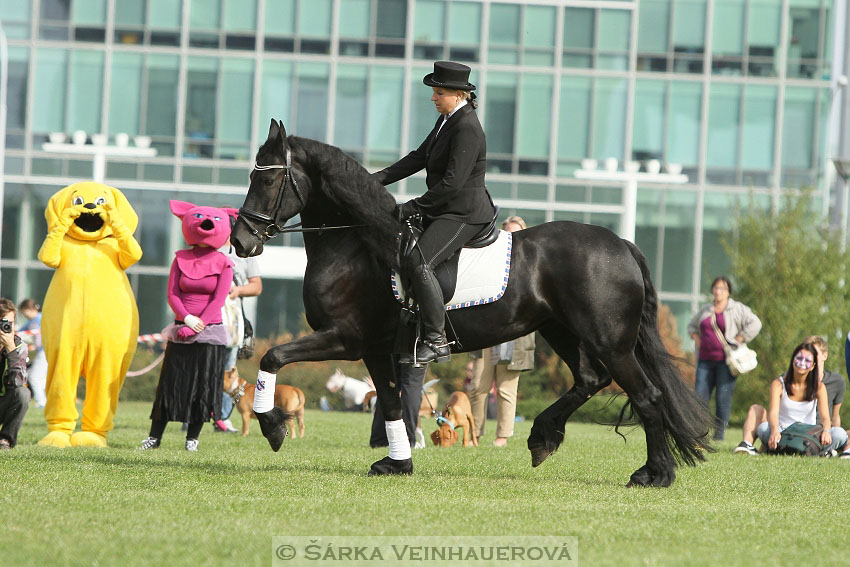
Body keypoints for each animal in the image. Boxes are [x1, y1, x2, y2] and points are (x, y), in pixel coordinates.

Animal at [230, 121, 708, 488]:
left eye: (267, 179)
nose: (240, 242)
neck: (355, 246)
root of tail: (622, 243)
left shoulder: (345, 339)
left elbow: (272, 357)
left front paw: (273, 427)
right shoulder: (376, 349)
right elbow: (391, 405)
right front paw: (397, 463)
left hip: (609, 340)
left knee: (646, 395)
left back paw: (654, 474)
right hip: (560, 330)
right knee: (591, 379)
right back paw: (543, 438)